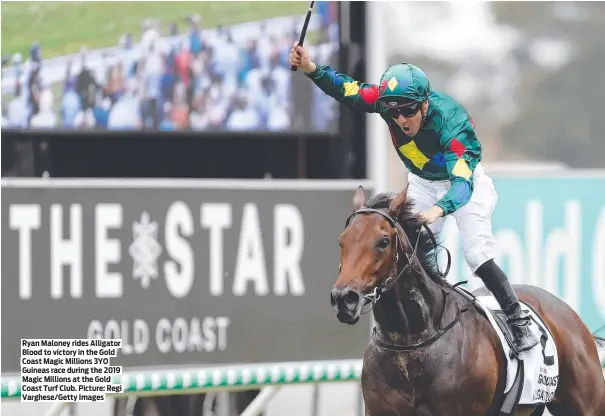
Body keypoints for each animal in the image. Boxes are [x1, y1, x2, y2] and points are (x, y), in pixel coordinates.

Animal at [330, 186, 604, 416]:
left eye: (383, 242)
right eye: (341, 241)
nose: (344, 299)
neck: (412, 340)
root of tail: (569, 314)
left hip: (587, 406)